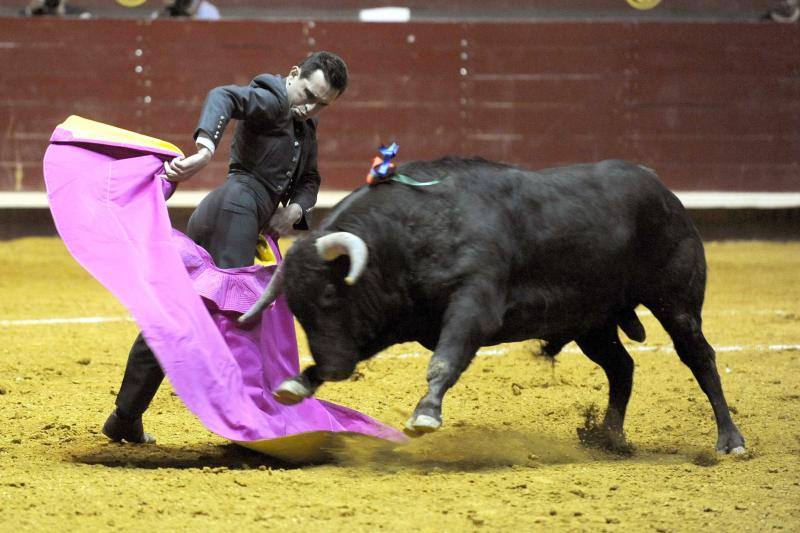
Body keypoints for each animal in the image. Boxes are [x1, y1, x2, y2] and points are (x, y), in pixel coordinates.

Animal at [241, 156, 748, 450]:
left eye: (329, 294)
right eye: (296, 309)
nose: (333, 367)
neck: (411, 229)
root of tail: (661, 189)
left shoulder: (474, 305)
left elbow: (445, 361)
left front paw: (425, 414)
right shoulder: (390, 318)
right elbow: (369, 348)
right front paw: (297, 384)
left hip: (676, 302)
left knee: (699, 356)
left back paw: (730, 441)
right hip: (592, 321)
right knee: (622, 367)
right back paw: (609, 438)